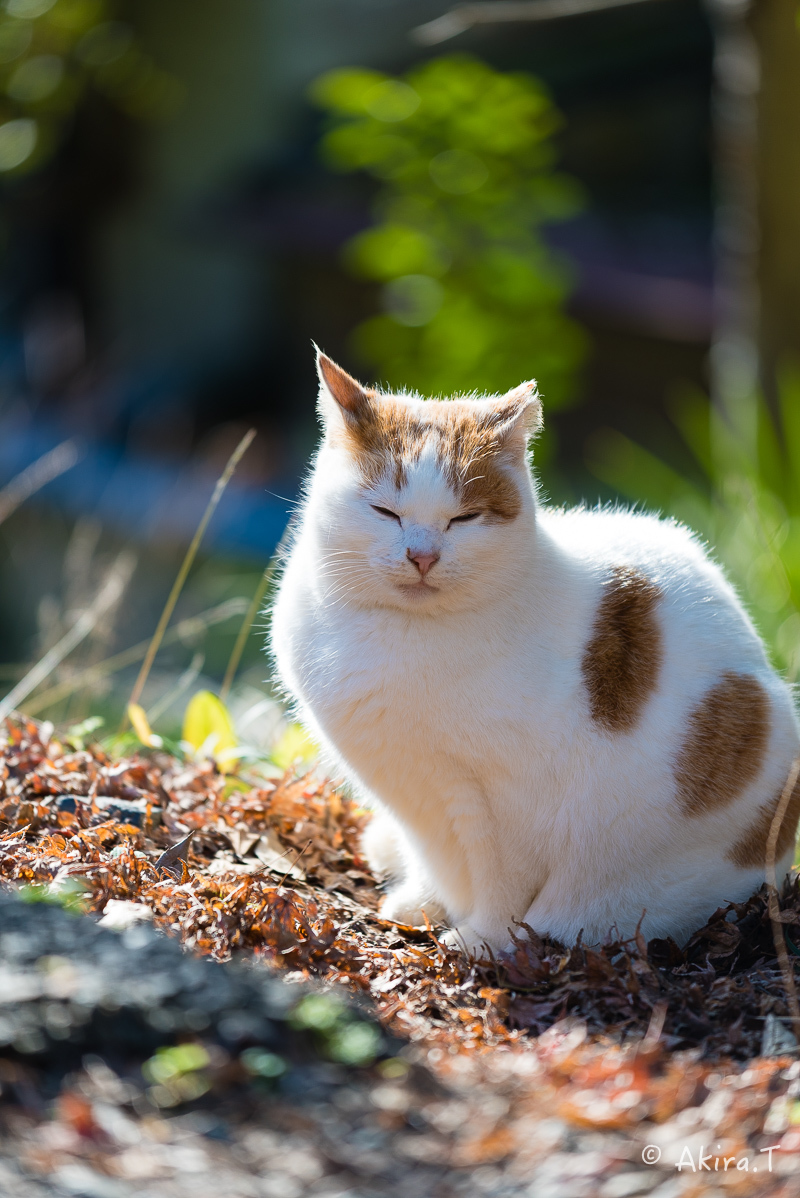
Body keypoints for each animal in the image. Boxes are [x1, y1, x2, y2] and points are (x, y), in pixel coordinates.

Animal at [270, 349, 800, 953]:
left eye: (464, 517)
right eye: (386, 512)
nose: (422, 556)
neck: (398, 634)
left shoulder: (504, 805)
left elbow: (502, 882)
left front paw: (481, 941)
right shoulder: (413, 788)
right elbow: (433, 857)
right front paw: (422, 903)